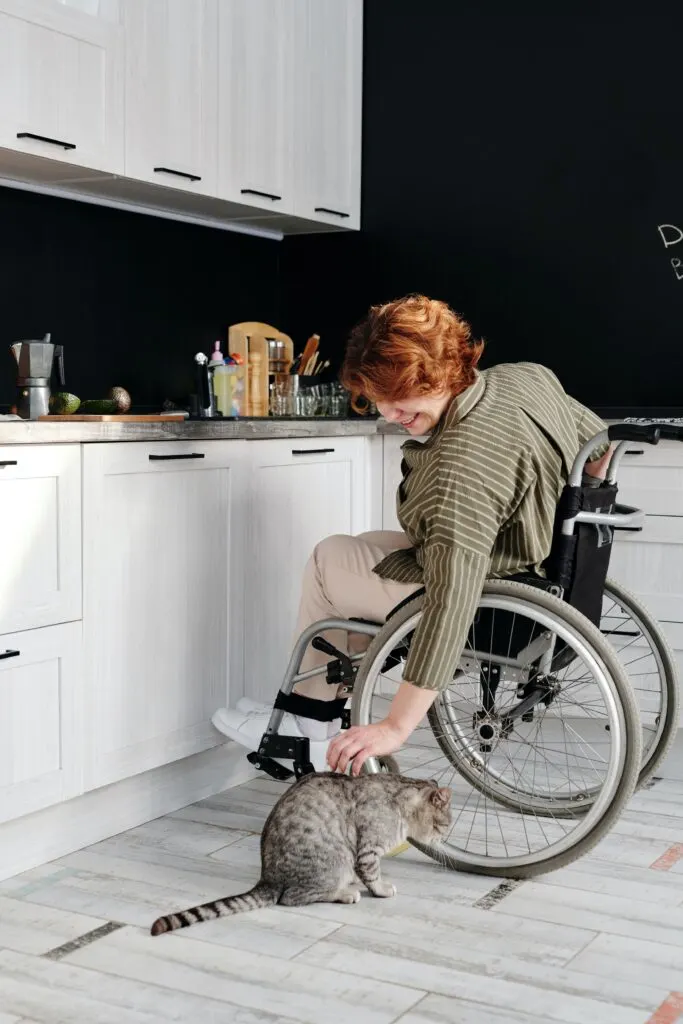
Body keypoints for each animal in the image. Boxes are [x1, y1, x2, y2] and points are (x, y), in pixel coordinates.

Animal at [151, 770, 450, 933]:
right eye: (445, 824)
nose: (443, 838)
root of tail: (267, 879)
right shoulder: (368, 849)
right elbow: (372, 874)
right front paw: (381, 889)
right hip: (334, 860)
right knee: (293, 897)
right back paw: (344, 893)